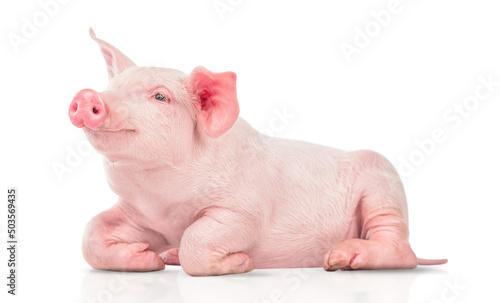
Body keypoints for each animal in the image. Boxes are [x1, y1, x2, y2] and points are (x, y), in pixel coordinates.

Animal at [69, 29, 446, 278]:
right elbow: (91, 232)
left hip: (383, 183)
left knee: (401, 248)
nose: (88, 96)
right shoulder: (141, 215)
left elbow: (198, 239)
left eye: (160, 97)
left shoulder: (244, 209)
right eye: (111, 88)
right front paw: (150, 258)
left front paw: (243, 264)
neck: (165, 204)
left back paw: (338, 261)